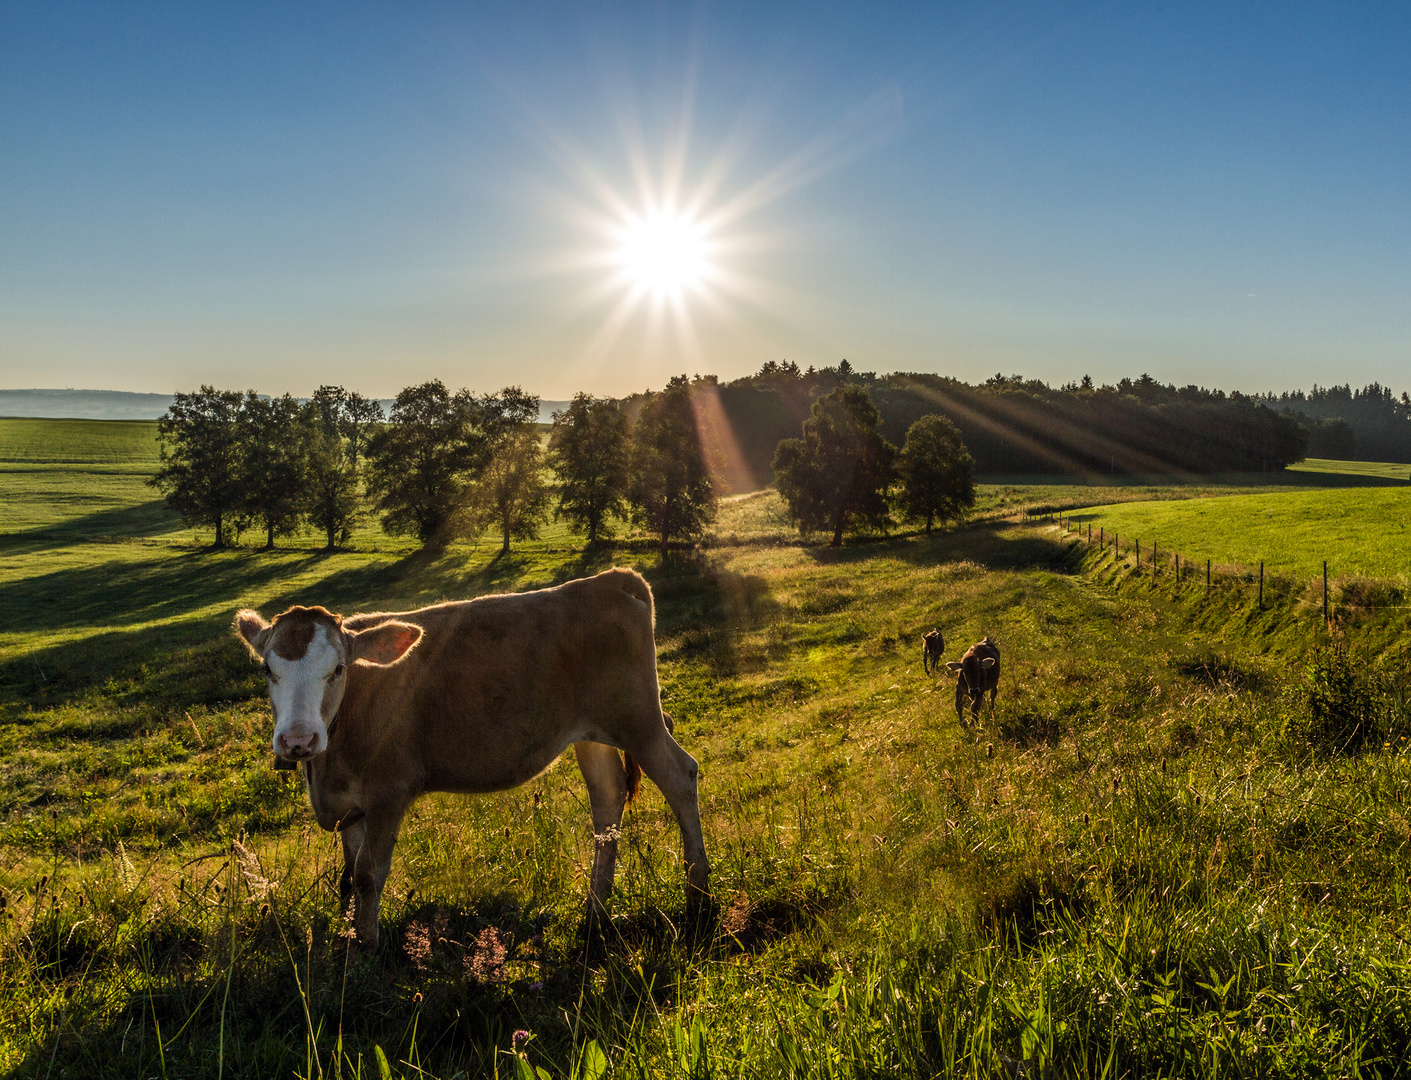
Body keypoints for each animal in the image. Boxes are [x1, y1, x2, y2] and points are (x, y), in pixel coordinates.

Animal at [238, 567, 716, 948]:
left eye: (338, 669)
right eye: (266, 669)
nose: (298, 739)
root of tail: (610, 580)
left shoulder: (387, 792)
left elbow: (368, 875)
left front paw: (366, 953)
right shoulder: (349, 806)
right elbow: (348, 876)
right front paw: (349, 937)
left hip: (639, 720)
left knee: (680, 777)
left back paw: (699, 900)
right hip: (594, 734)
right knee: (608, 799)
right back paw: (595, 912)